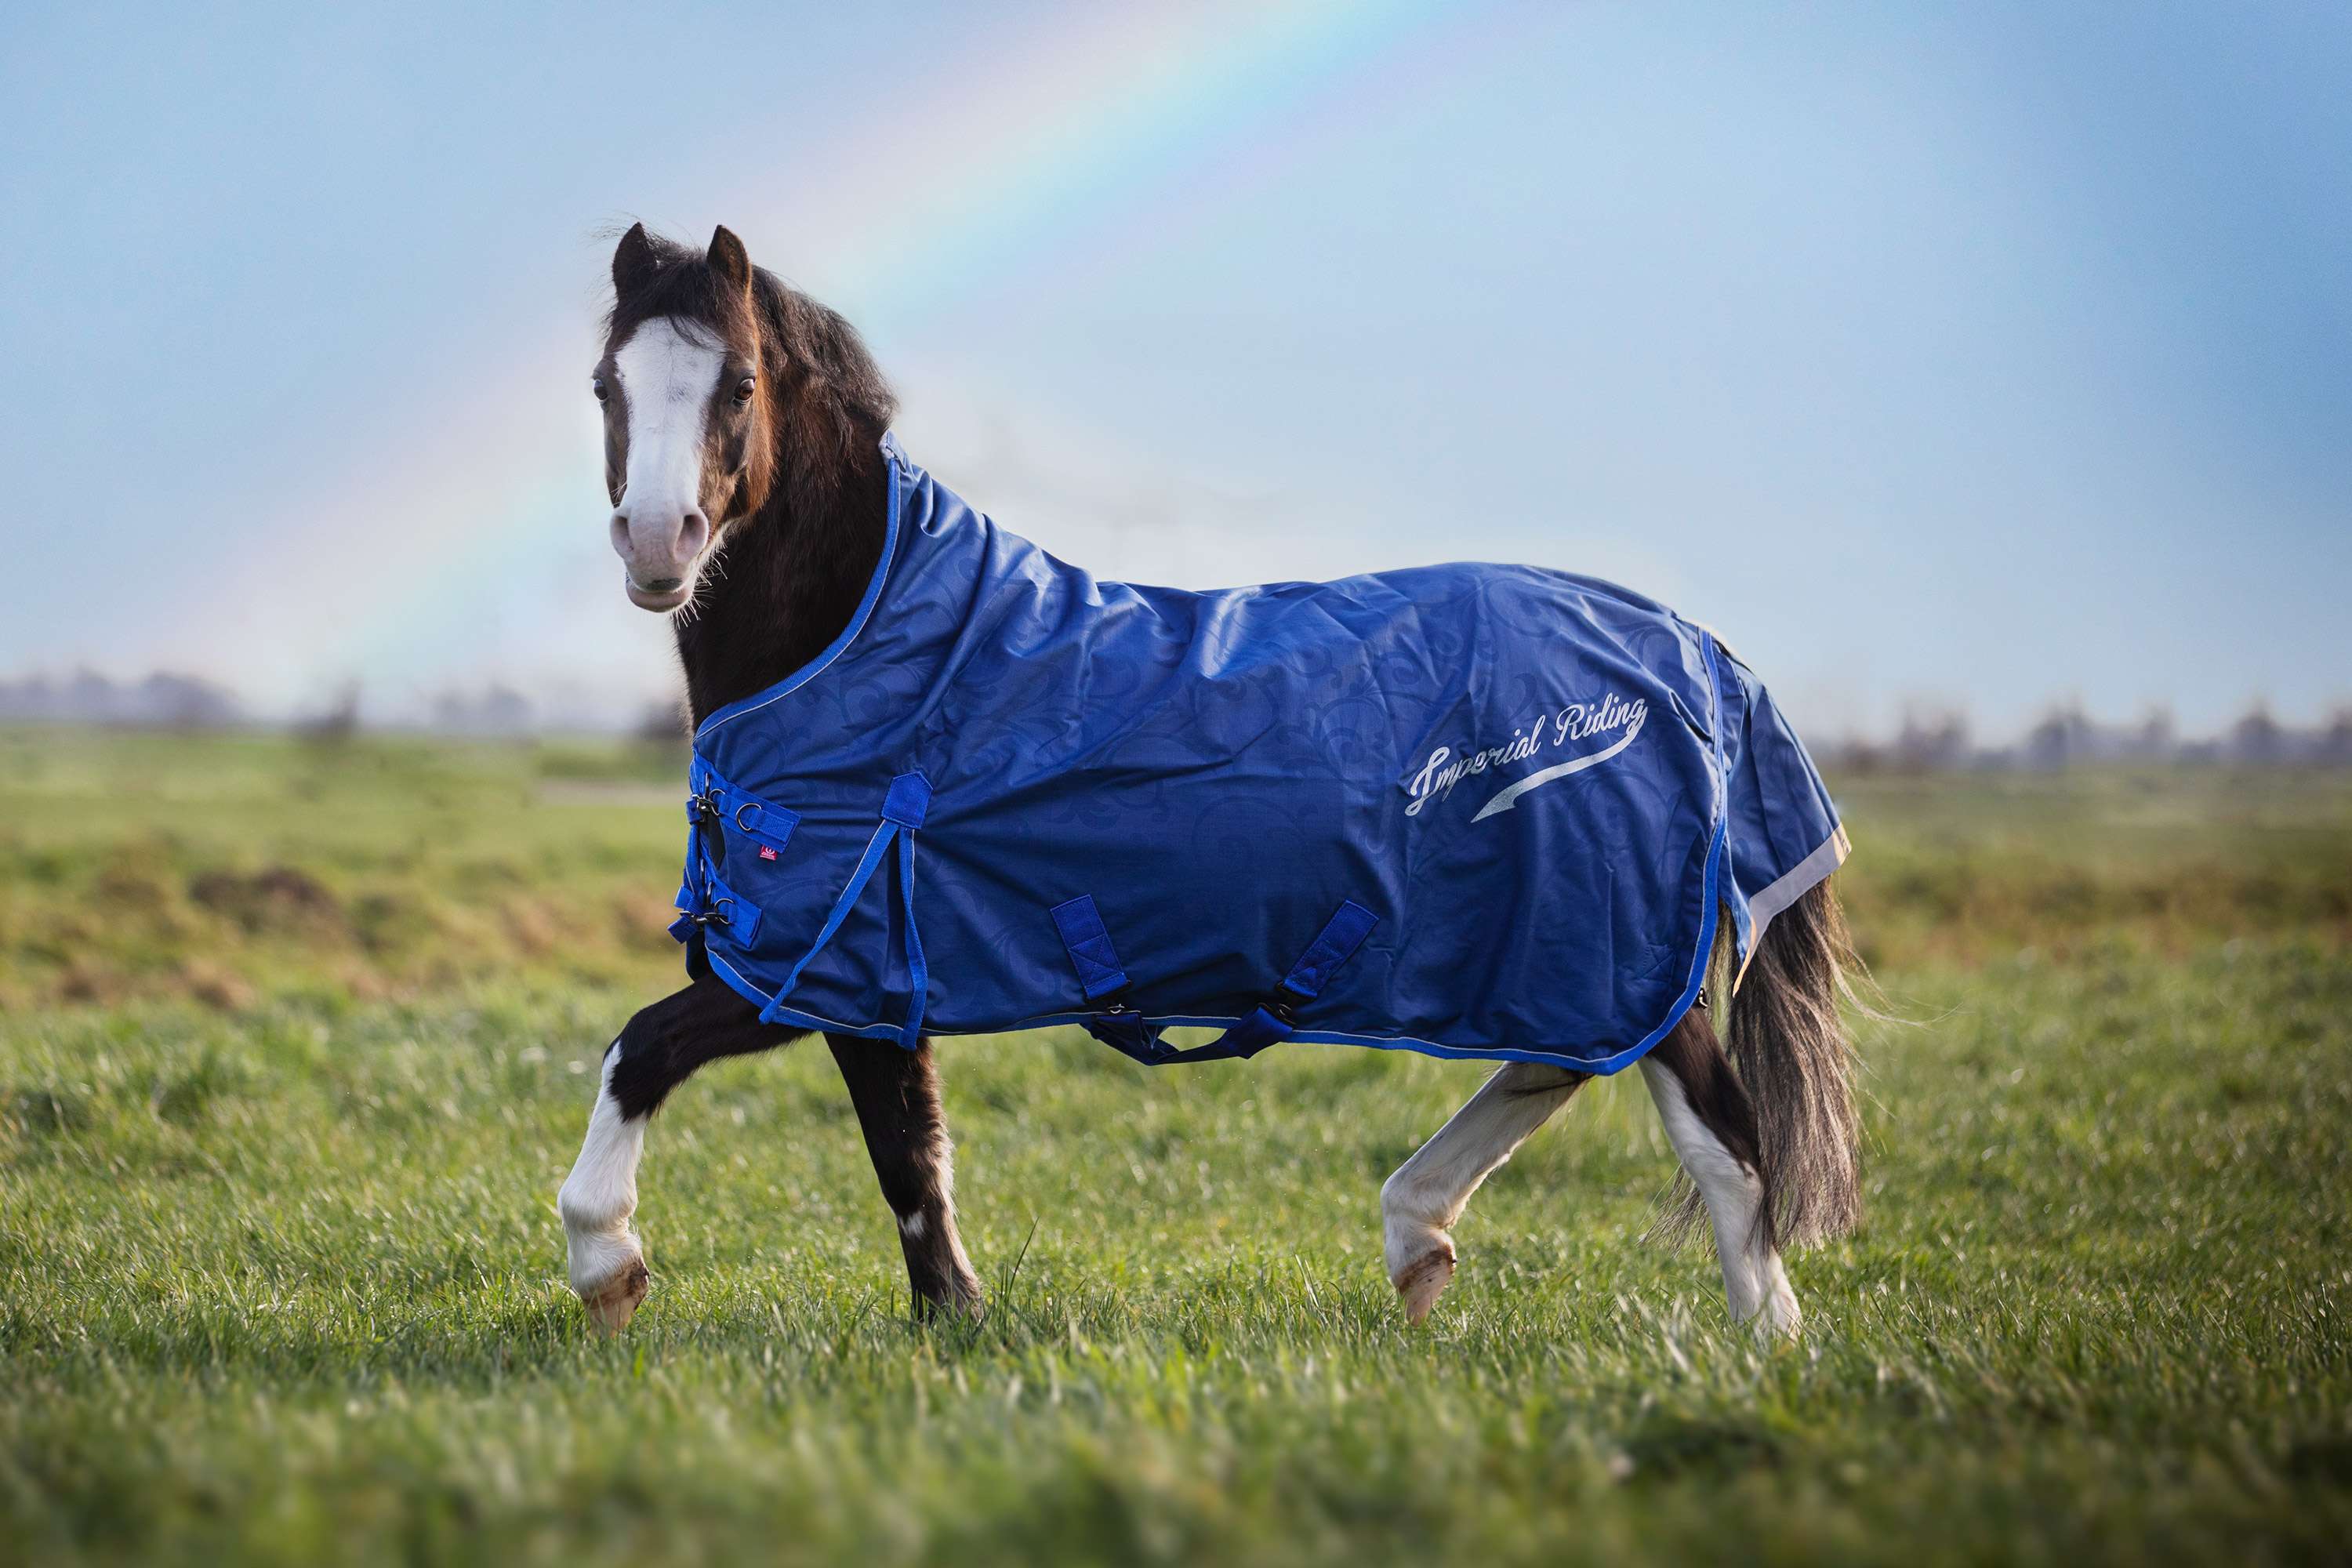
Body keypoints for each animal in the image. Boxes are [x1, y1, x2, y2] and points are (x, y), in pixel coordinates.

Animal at [558, 222, 1865, 1338]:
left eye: (737, 385)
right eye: (607, 387)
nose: (659, 545)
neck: (876, 646)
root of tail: (1692, 651)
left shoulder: (810, 963)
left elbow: (645, 1050)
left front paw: (606, 1261)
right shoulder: (870, 981)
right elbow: (908, 1155)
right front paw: (952, 1318)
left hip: (1623, 947)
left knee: (1726, 1145)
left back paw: (1767, 1344)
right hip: (1559, 947)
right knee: (1557, 1069)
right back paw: (1419, 1240)